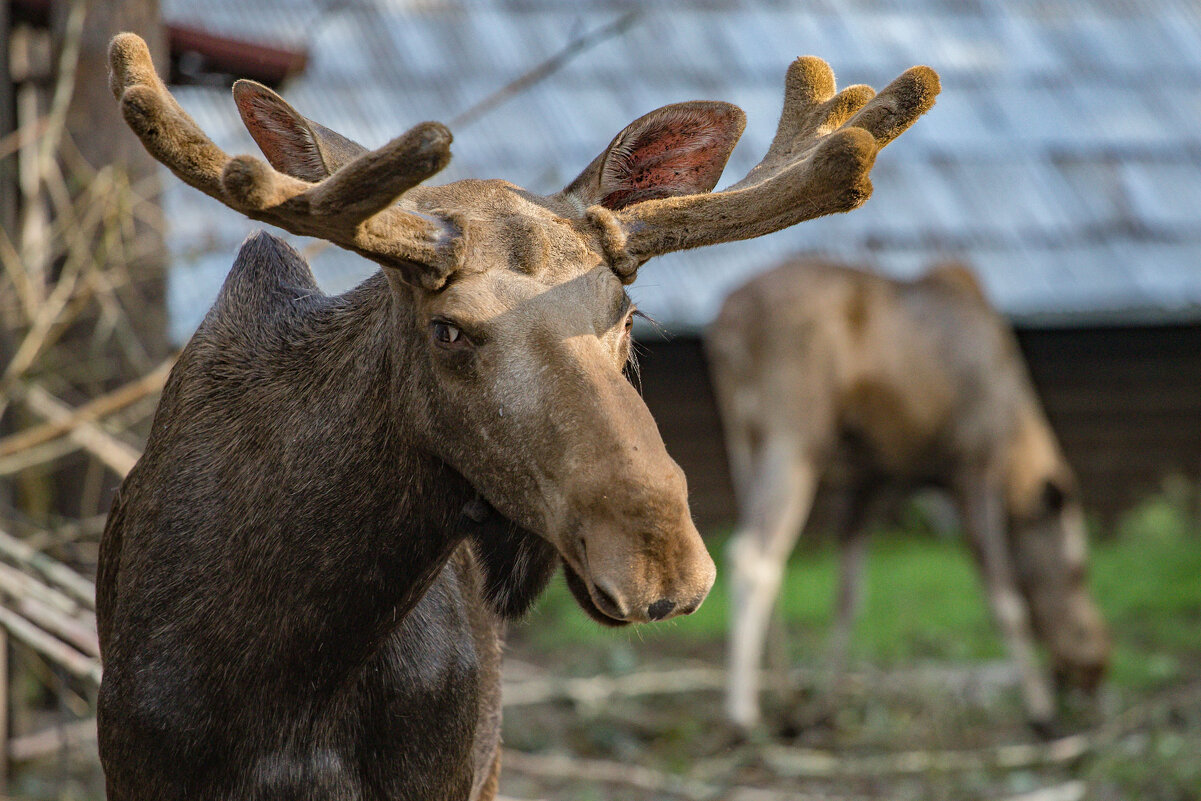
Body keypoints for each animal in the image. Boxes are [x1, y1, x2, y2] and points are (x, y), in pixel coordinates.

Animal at [706, 260, 1109, 734]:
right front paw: (1041, 710)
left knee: (771, 560)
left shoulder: (869, 481)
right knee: (752, 555)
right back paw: (742, 715)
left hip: (744, 440)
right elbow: (1006, 598)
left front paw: (825, 707)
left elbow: (847, 598)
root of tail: (727, 326)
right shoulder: (972, 469)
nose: (1097, 664)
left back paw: (786, 699)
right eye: (1077, 570)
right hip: (797, 434)